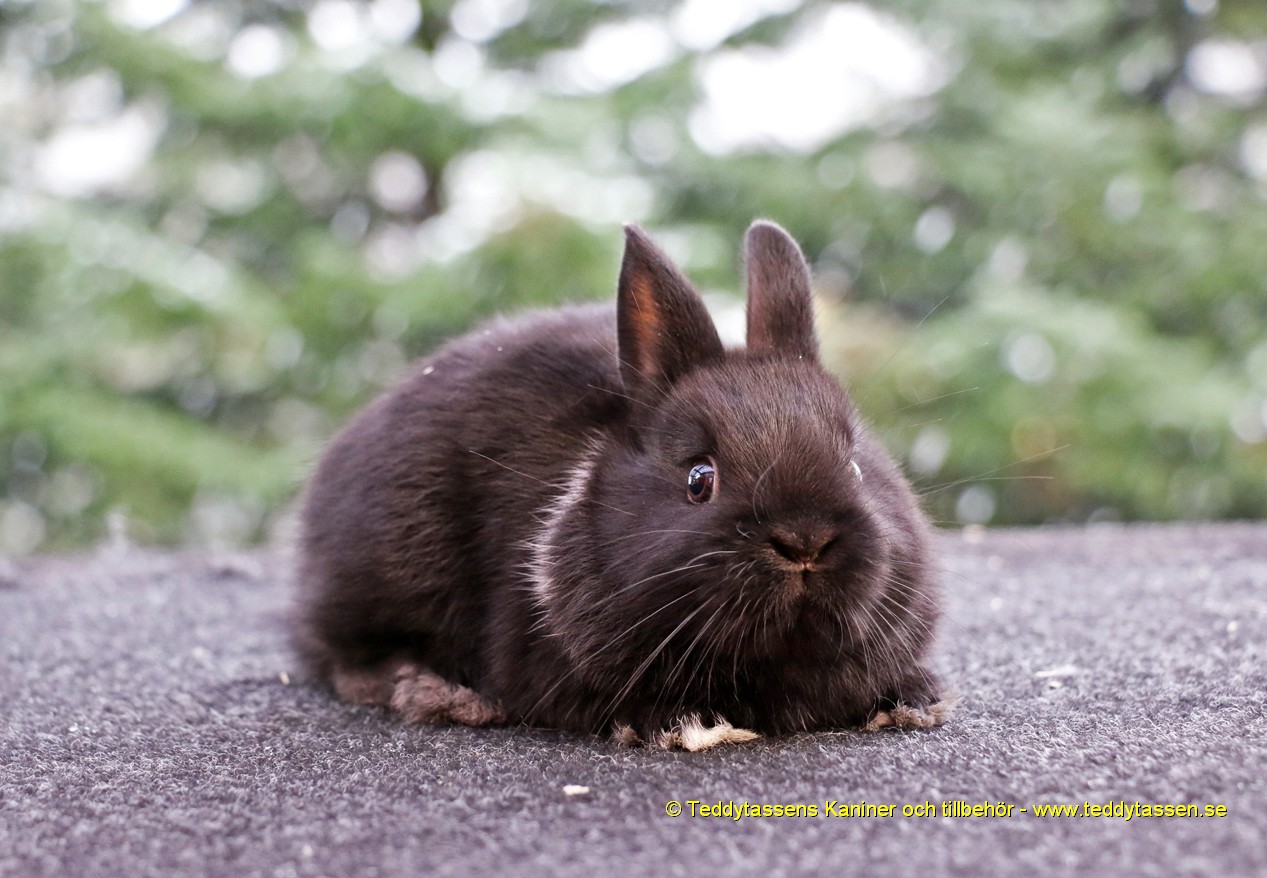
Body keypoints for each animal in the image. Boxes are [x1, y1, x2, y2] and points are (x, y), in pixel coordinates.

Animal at [293, 222, 952, 750]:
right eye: (699, 479)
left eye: (858, 465)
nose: (805, 542)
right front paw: (683, 723)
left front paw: (919, 696)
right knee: (341, 653)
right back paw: (437, 692)